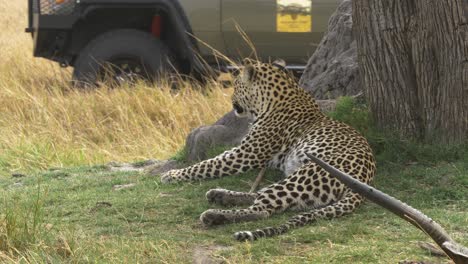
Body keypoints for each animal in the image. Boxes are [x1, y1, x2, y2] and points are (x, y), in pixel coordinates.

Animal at [161, 58, 376, 241]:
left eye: (236, 86)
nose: (231, 99)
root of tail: (364, 182)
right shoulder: (245, 151)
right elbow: (211, 160)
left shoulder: (246, 154)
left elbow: (206, 165)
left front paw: (172, 174)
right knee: (262, 195)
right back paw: (219, 195)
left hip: (308, 173)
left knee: (263, 209)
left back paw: (215, 215)